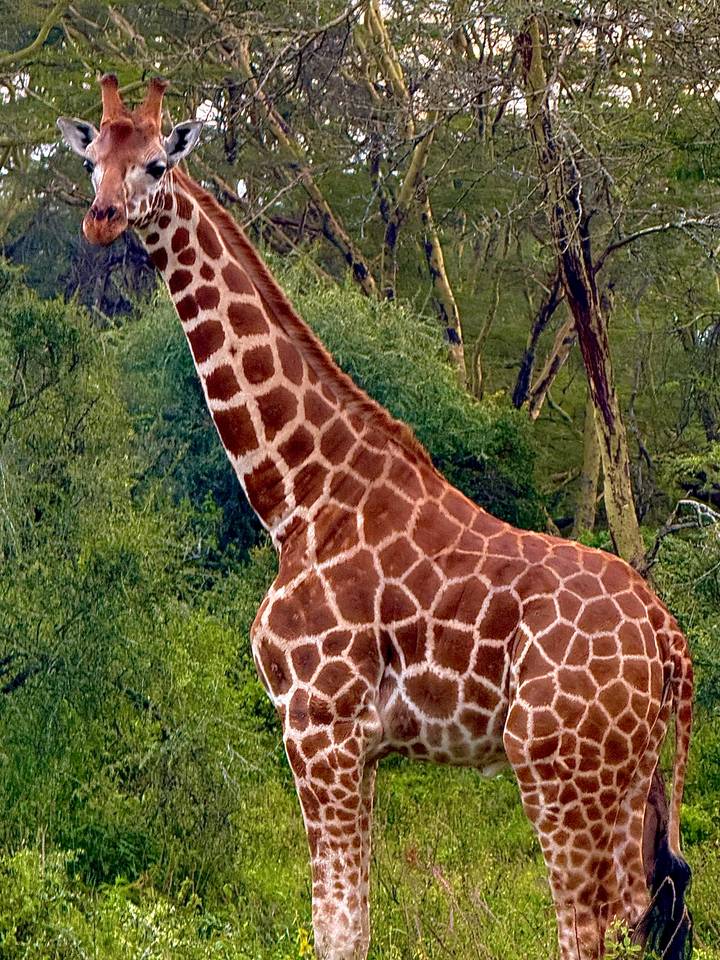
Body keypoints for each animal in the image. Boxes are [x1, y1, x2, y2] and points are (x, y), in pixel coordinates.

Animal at [58, 76, 694, 960]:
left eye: (156, 163)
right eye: (92, 162)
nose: (103, 218)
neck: (298, 497)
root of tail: (668, 638)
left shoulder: (317, 725)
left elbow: (336, 926)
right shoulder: (357, 747)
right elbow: (350, 921)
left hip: (557, 763)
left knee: (586, 924)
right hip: (628, 771)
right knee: (653, 906)